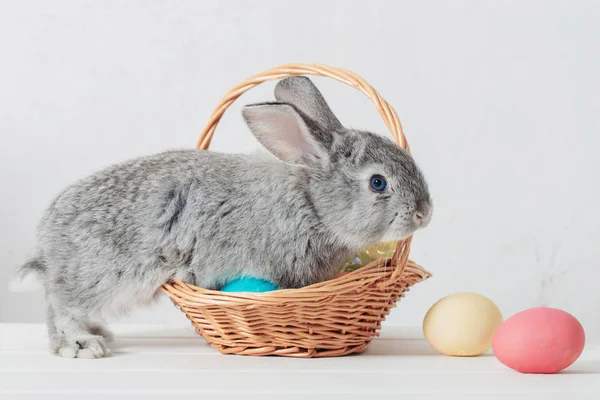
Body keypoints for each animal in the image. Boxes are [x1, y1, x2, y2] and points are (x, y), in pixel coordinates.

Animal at [9, 76, 432, 360]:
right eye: (378, 183)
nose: (424, 214)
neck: (313, 205)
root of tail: (46, 246)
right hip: (101, 277)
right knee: (60, 305)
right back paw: (82, 344)